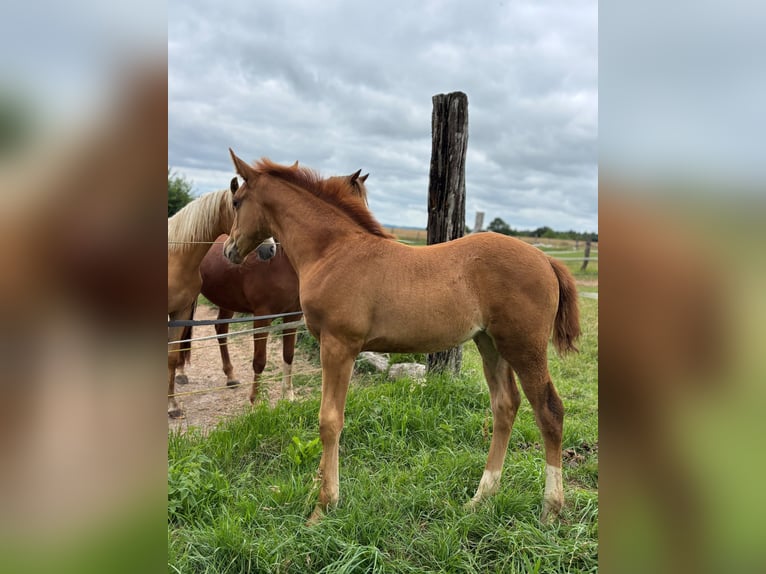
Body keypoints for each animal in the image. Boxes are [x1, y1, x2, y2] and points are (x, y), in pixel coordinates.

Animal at [168, 181, 276, 418]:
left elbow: (171, 355)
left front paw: (172, 405)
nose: (271, 249)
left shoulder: (181, 310)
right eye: (240, 208)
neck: (175, 257)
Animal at [198, 171, 369, 405]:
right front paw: (256, 399)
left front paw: (288, 395)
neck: (281, 261)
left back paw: (230, 376)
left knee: (220, 331)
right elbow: (259, 360)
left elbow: (289, 354)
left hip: (227, 301)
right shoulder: (262, 316)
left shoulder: (292, 316)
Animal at [223, 150, 581, 524]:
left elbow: (329, 421)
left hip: (524, 346)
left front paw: (322, 507)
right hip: (490, 343)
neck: (334, 251)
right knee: (505, 405)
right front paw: (317, 492)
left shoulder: (339, 346)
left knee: (549, 410)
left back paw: (551, 508)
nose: (229, 249)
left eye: (236, 201)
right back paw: (480, 497)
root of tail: (545, 258)